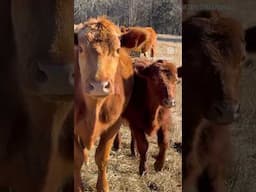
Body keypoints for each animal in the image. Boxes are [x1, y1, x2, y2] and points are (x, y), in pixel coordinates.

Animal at [74, 16, 134, 192]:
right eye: (80, 49)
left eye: (117, 49)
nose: (99, 85)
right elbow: (77, 158)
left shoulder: (114, 125)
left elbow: (102, 158)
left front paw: (103, 186)